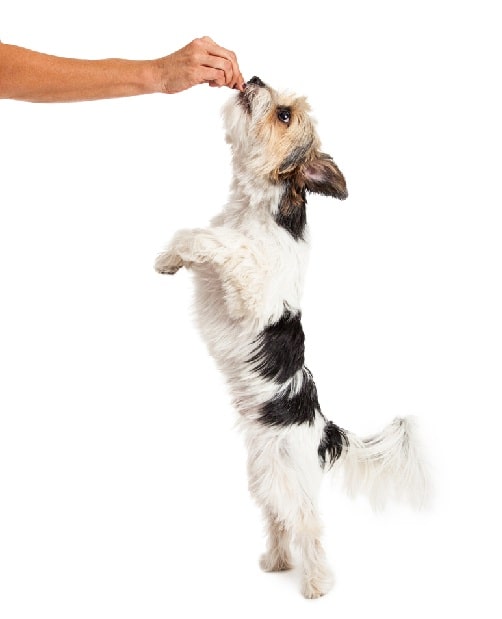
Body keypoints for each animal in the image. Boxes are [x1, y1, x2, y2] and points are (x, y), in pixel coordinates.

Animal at [155, 75, 430, 600]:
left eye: (284, 115)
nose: (254, 78)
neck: (255, 208)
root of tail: (323, 429)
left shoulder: (250, 284)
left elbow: (216, 242)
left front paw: (184, 251)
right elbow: (194, 237)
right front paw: (168, 260)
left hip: (290, 476)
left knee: (308, 524)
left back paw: (317, 583)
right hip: (264, 474)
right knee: (279, 519)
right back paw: (277, 561)